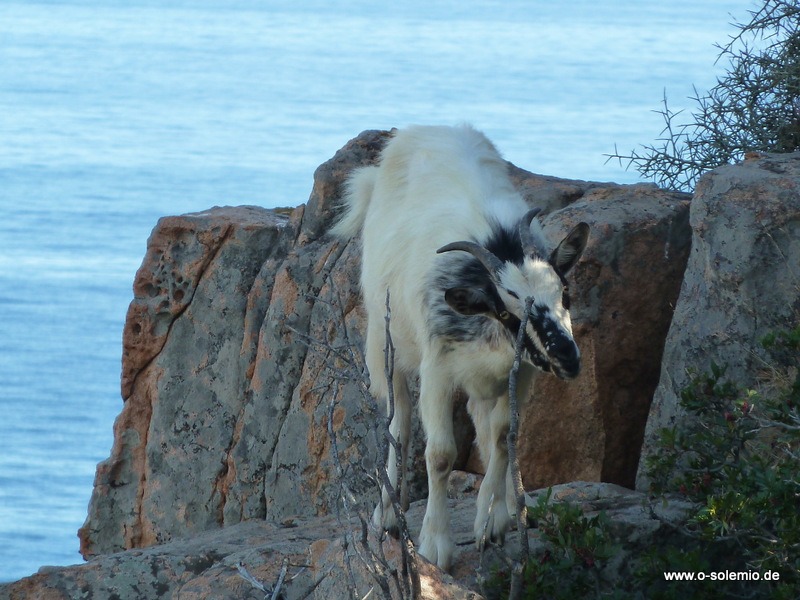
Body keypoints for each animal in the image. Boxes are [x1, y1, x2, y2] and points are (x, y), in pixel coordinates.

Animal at [331, 124, 589, 571]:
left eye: (565, 294)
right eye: (507, 314)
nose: (567, 358)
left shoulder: (520, 374)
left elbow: (503, 435)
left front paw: (492, 521)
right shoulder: (438, 368)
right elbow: (440, 454)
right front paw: (436, 545)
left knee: (484, 426)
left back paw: (509, 508)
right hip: (386, 341)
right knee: (399, 422)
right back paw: (389, 513)